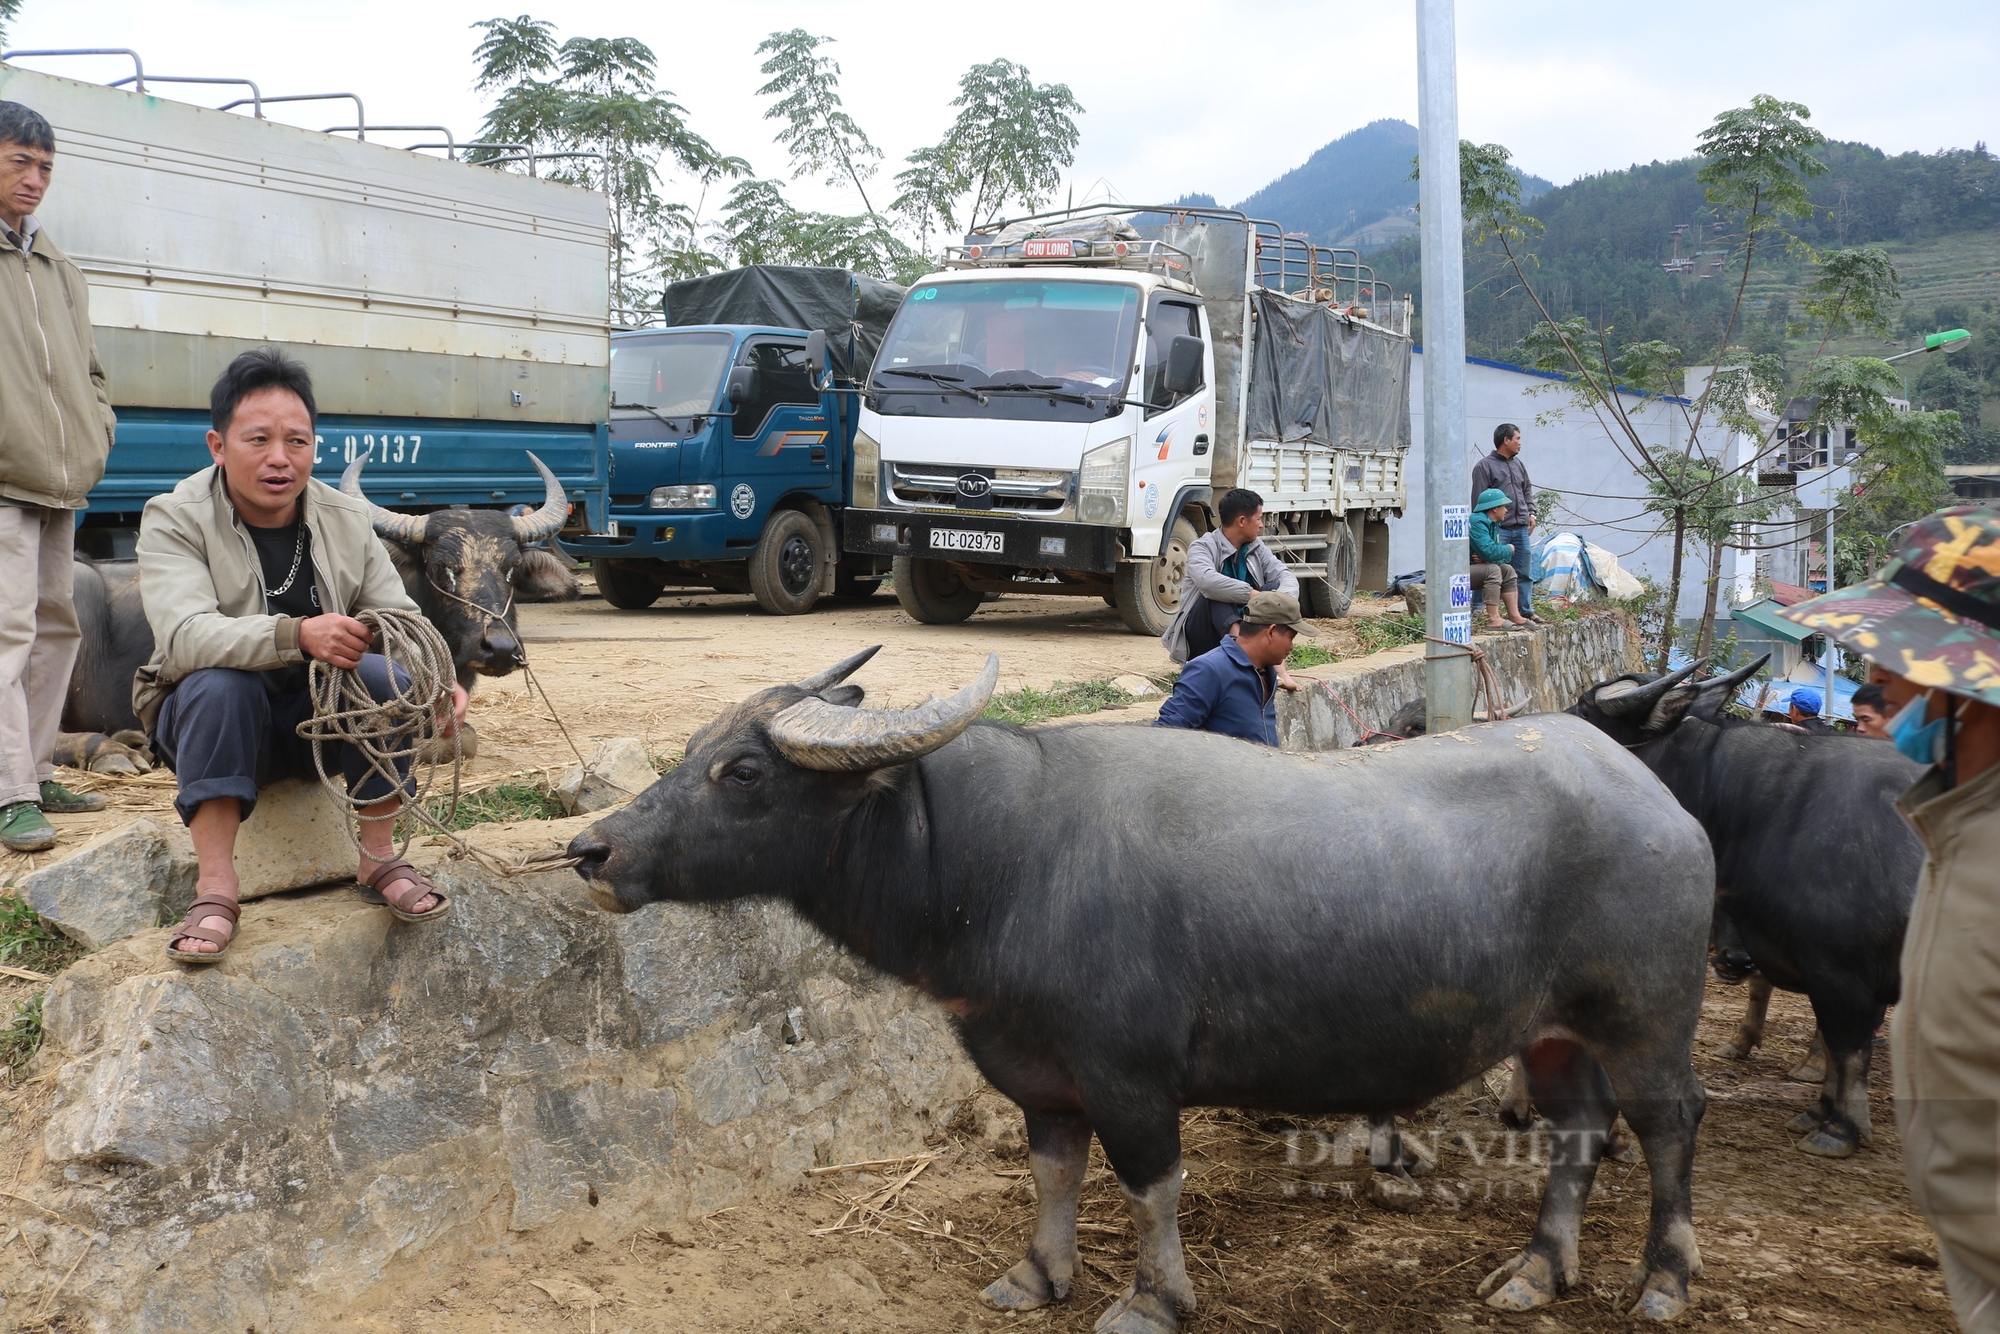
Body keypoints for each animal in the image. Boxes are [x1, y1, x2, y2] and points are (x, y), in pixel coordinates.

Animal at [568, 652, 1720, 1328]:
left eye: (744, 772)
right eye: (691, 750)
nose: (591, 849)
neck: (997, 860)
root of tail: (1655, 797)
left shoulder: (1128, 1074)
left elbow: (1148, 1185)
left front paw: (1152, 1299)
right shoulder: (1039, 1076)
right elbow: (1053, 1174)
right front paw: (1036, 1276)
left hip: (1648, 1019)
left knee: (1668, 1126)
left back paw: (1661, 1282)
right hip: (1554, 1030)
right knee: (1577, 1129)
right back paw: (1537, 1268)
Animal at [1568, 660, 1928, 1160]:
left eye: (1586, 713)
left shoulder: (1842, 973)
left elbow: (1848, 1049)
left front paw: (1842, 1128)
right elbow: (1831, 1042)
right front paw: (1819, 1110)